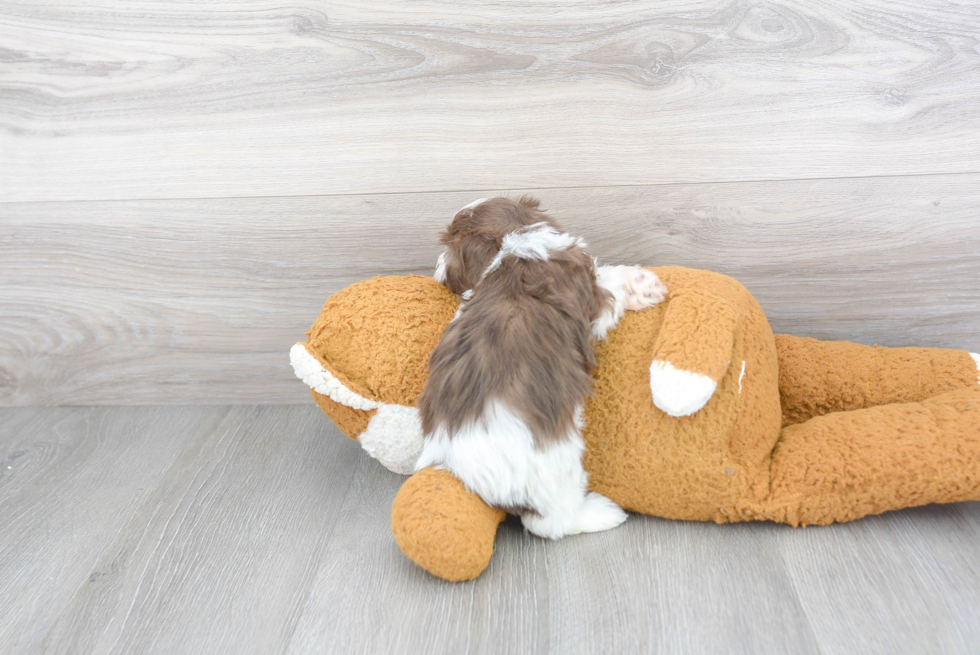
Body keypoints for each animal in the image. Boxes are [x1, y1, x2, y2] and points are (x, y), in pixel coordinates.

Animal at [414, 197, 668, 540]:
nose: (437, 266)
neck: (516, 243)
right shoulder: (594, 297)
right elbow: (609, 281)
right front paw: (645, 285)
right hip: (558, 467)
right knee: (550, 523)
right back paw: (603, 512)